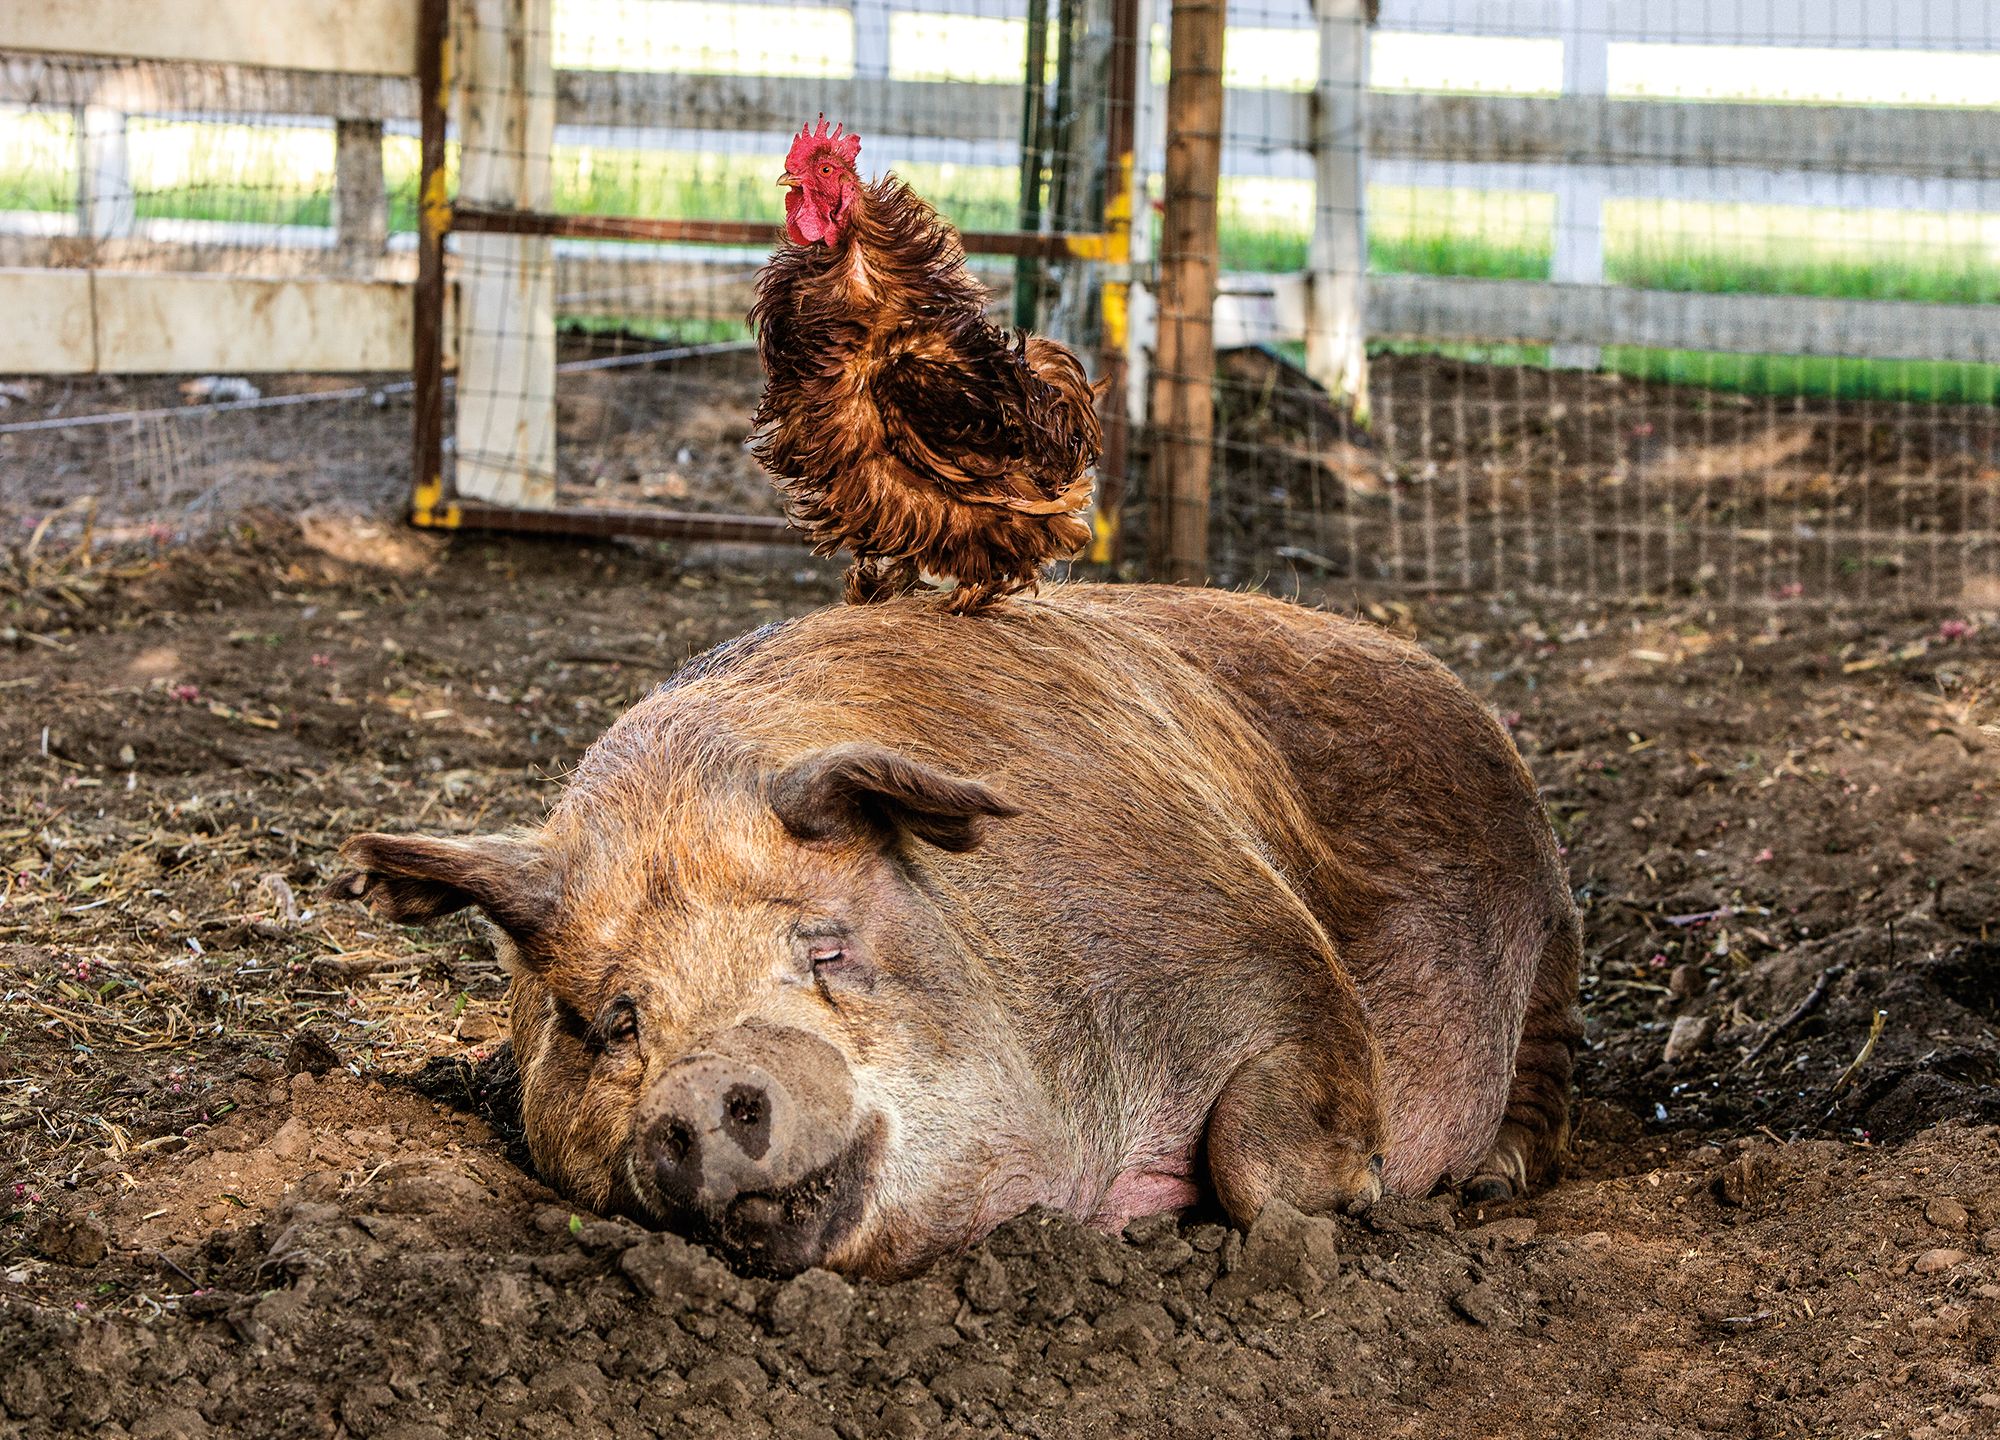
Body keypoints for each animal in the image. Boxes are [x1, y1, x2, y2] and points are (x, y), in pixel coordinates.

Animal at [332, 588, 1576, 1280]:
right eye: (608, 1018)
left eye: (827, 946)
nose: (709, 1084)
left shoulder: (1265, 950)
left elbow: (1261, 1155)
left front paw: (1362, 1196)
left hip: (1554, 921)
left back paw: (1491, 1182)